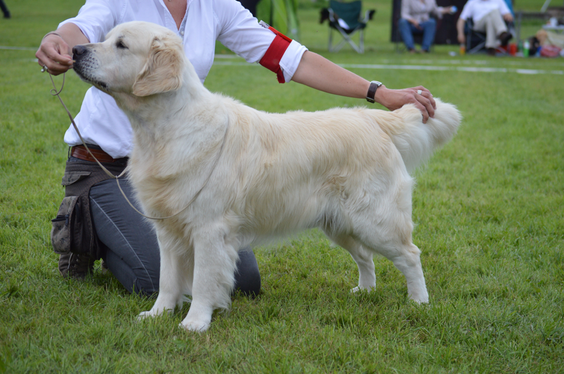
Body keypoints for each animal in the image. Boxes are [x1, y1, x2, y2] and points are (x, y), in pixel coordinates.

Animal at [71, 21, 458, 330]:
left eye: (121, 45)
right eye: (106, 38)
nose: (75, 50)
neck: (165, 128)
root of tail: (371, 119)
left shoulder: (209, 230)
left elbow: (202, 281)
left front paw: (195, 323)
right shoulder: (167, 231)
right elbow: (166, 279)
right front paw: (157, 315)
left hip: (375, 220)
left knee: (410, 254)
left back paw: (419, 302)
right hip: (339, 223)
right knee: (365, 257)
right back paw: (364, 290)